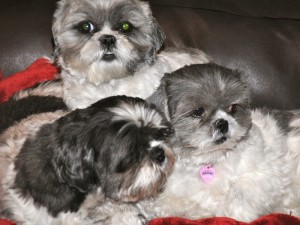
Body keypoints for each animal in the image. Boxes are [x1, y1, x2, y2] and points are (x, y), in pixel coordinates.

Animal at [134, 63, 300, 221]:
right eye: (198, 111)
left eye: (233, 107)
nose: (222, 123)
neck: (211, 159)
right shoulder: (171, 196)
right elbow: (169, 206)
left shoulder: (264, 176)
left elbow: (240, 199)